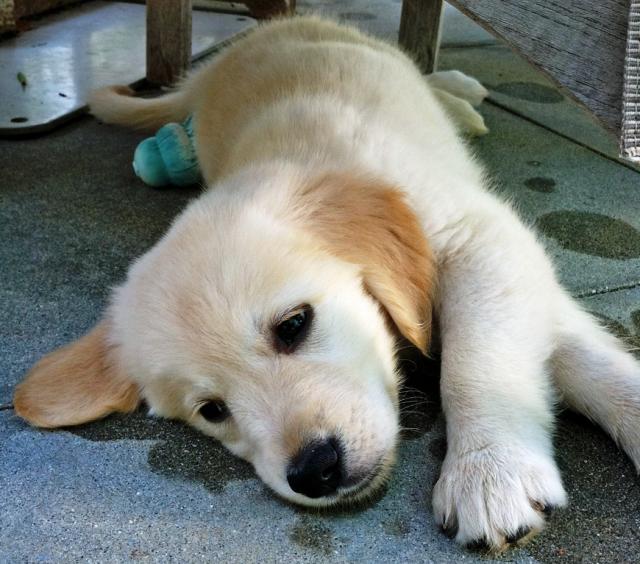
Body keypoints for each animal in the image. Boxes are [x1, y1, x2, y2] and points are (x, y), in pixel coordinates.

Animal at [13, 16, 640, 552]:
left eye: (294, 325)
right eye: (212, 410)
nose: (315, 471)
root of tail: (224, 60)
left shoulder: (480, 241)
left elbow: (483, 358)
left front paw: (489, 467)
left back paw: (457, 92)